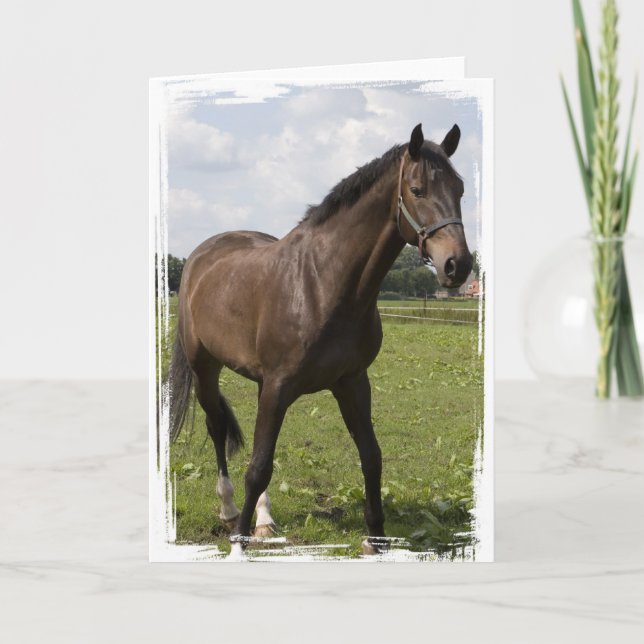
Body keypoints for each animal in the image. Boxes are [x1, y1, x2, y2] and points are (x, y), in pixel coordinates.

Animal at [167, 123, 473, 556]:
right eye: (417, 189)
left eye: (460, 188)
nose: (458, 265)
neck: (322, 281)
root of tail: (201, 256)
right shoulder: (279, 385)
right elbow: (258, 467)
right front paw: (239, 544)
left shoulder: (351, 382)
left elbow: (371, 457)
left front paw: (376, 539)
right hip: (205, 368)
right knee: (216, 428)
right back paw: (229, 511)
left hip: (260, 383)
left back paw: (264, 518)